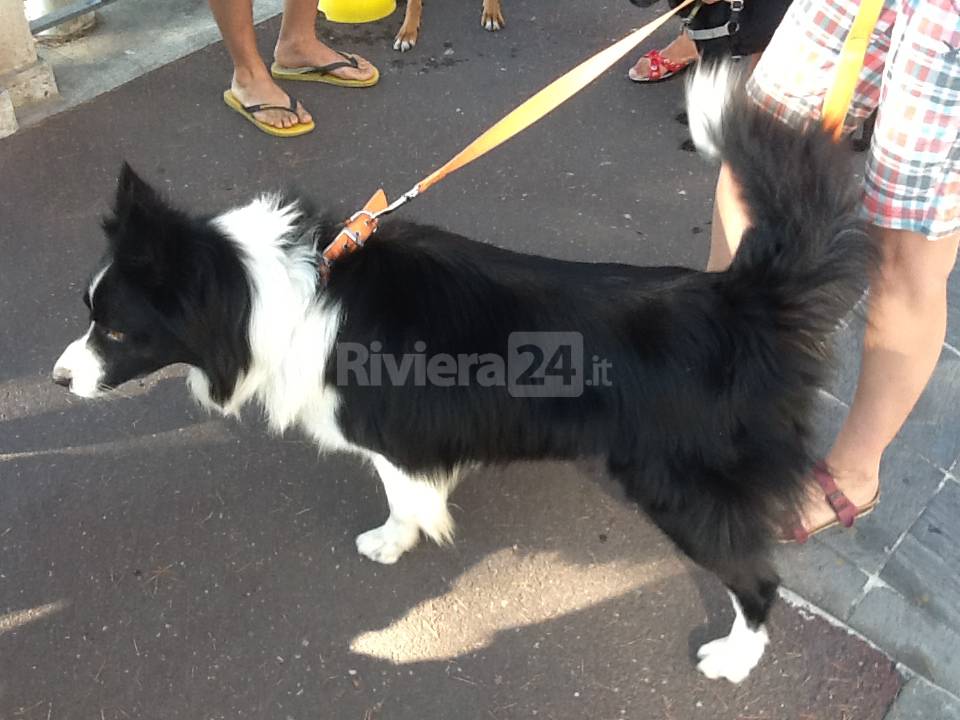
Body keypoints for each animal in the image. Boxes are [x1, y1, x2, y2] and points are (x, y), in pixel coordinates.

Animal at [52, 64, 876, 684]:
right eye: (89, 312)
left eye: (115, 328)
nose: (57, 381)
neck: (270, 294)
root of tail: (741, 297)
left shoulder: (390, 432)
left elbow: (400, 493)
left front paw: (394, 540)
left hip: (681, 486)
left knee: (757, 580)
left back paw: (732, 659)